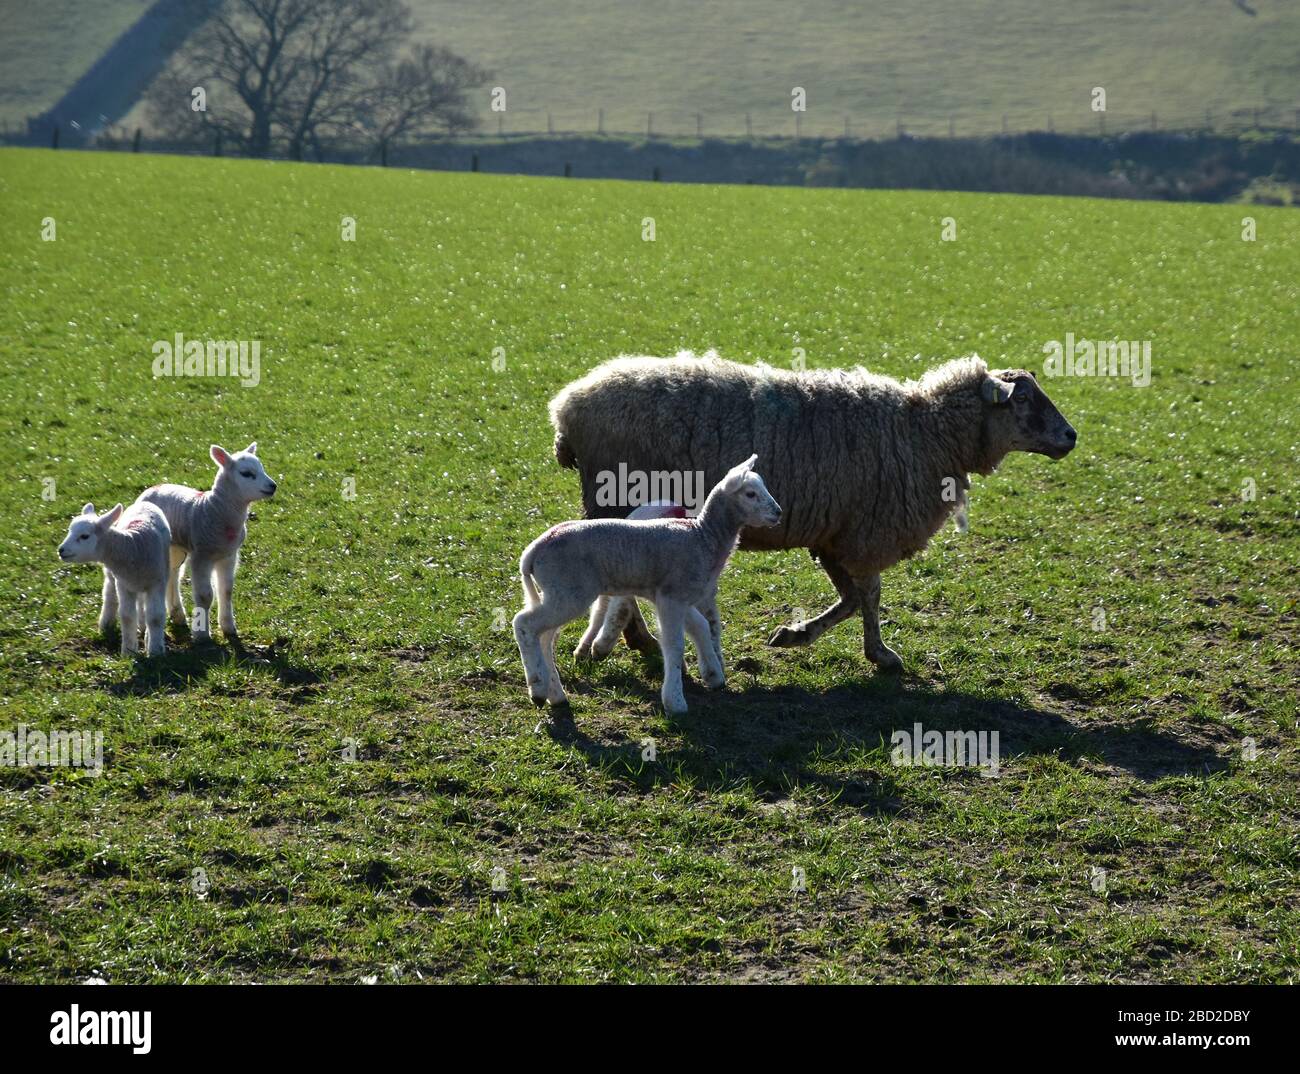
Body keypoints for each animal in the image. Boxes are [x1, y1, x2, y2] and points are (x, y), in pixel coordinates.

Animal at [58, 501, 172, 657]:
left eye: (85, 536)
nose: (61, 550)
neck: (133, 546)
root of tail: (144, 503)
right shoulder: (123, 584)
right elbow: (126, 616)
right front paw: (129, 652)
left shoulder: (157, 582)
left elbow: (155, 616)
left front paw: (155, 651)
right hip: (113, 577)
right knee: (110, 596)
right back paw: (106, 625)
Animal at [136, 442, 278, 642]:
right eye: (246, 473)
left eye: (262, 468)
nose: (273, 486)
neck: (215, 509)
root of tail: (152, 488)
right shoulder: (201, 555)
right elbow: (205, 595)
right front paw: (202, 634)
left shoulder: (229, 555)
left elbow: (226, 591)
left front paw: (229, 628)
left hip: (176, 547)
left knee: (173, 574)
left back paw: (178, 615)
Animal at [513, 455, 781, 714]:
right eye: (750, 493)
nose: (778, 512)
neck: (703, 535)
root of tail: (533, 550)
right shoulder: (671, 597)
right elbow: (675, 644)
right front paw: (675, 701)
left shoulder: (679, 596)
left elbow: (702, 626)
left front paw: (713, 675)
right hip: (569, 590)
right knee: (524, 624)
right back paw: (537, 688)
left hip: (558, 591)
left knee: (544, 637)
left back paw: (555, 694)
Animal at [550, 351, 1077, 672]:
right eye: (1023, 398)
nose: (1071, 437)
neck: (926, 432)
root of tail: (566, 409)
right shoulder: (867, 534)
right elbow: (869, 598)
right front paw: (880, 654)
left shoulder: (835, 536)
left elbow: (851, 599)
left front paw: (796, 634)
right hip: (617, 500)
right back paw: (640, 641)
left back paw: (639, 641)